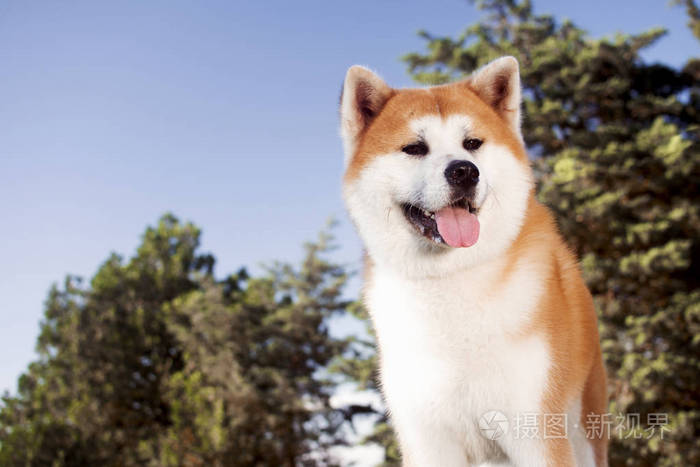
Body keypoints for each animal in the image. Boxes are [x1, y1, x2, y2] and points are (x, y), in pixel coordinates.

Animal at [340, 56, 608, 466]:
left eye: (472, 144)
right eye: (414, 148)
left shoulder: (535, 431)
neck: (451, 279)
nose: (464, 170)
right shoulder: (428, 440)